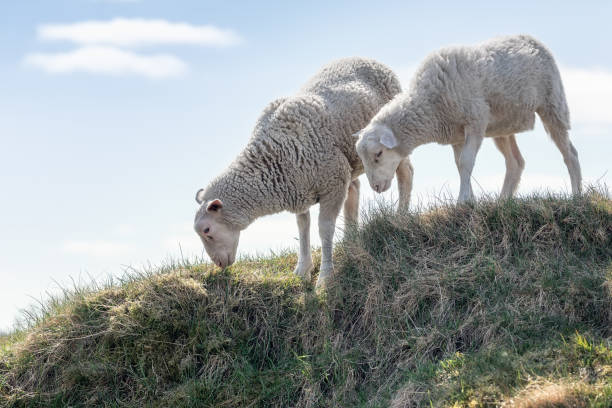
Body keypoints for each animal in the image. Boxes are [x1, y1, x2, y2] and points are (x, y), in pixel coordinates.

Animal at [194, 56, 408, 286]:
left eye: (207, 231)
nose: (219, 264)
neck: (272, 160)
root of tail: (364, 57)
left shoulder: (332, 183)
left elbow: (324, 229)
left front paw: (325, 276)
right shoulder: (299, 192)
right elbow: (303, 228)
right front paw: (303, 270)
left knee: (406, 172)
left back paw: (401, 216)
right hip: (347, 164)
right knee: (353, 192)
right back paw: (350, 242)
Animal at [354, 34, 584, 203]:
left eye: (378, 154)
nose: (376, 187)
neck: (430, 104)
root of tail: (530, 38)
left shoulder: (475, 120)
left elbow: (466, 162)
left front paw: (462, 200)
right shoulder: (456, 133)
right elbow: (459, 164)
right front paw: (470, 200)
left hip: (552, 103)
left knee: (570, 153)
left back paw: (577, 195)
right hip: (502, 125)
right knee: (515, 163)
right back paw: (503, 201)